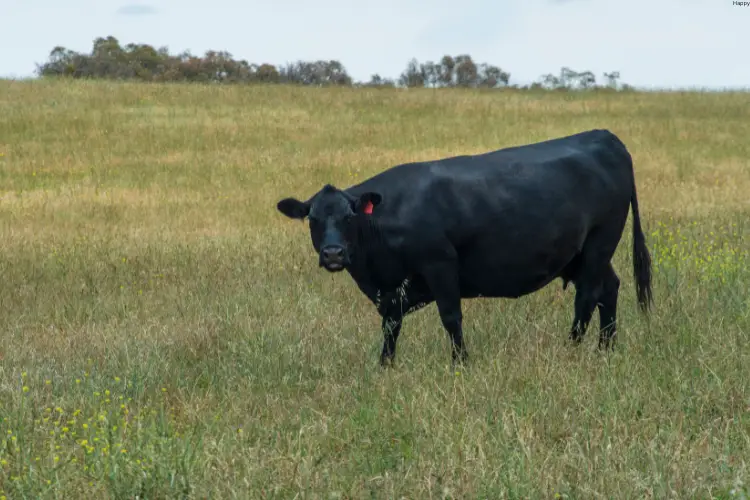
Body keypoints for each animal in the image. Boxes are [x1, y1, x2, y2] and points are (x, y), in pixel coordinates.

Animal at [276, 128, 652, 364]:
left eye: (349, 217)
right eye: (313, 219)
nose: (333, 253)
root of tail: (605, 137)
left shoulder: (439, 263)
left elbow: (451, 317)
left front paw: (461, 363)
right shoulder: (393, 290)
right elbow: (390, 324)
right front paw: (385, 365)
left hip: (600, 242)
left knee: (587, 296)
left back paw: (572, 349)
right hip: (581, 254)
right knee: (609, 288)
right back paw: (606, 349)